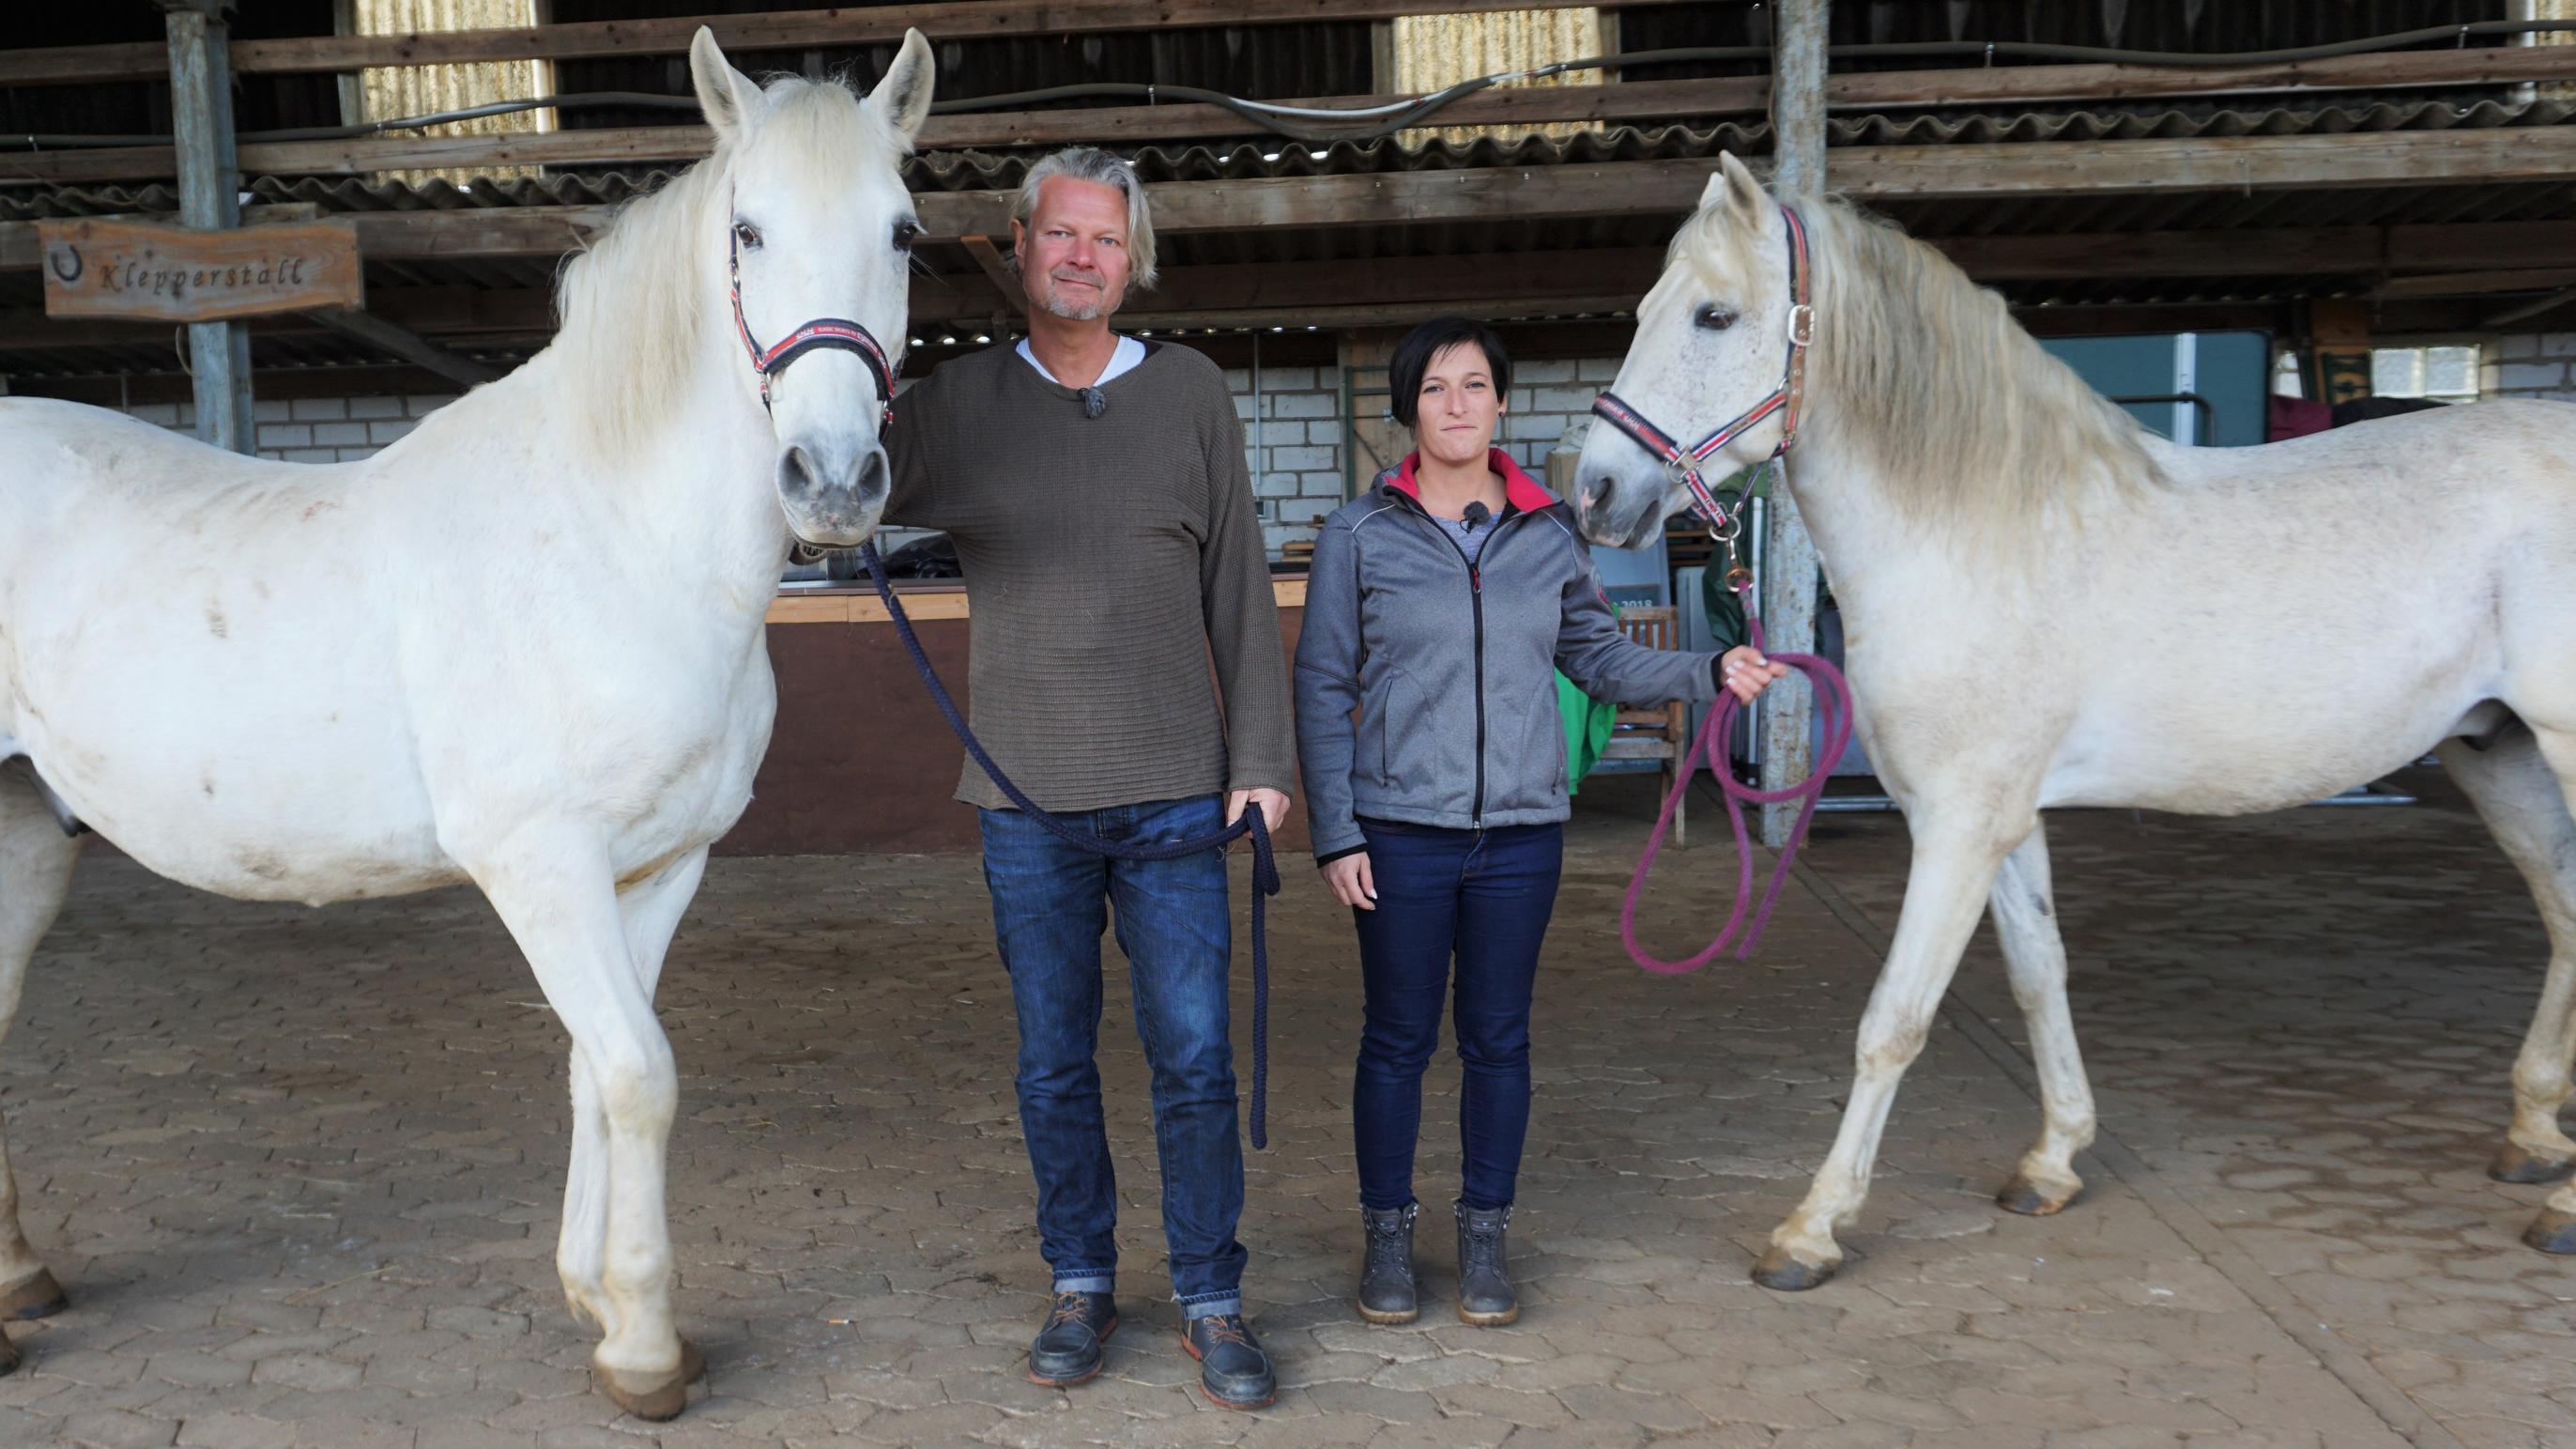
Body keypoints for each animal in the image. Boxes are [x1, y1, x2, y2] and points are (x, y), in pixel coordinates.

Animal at [0, 30, 937, 1412]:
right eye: (749, 231)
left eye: (903, 231)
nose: (831, 482)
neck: (613, 540)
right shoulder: (539, 863)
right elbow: (640, 1074)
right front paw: (647, 1347)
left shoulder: (656, 866)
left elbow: (599, 1071)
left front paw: (598, 1302)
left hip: (22, 837)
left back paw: (20, 1281)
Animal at [1576, 155, 2576, 1284]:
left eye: (1713, 314)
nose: (1596, 490)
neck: (1981, 532)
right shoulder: (2002, 820)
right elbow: (2036, 974)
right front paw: (2052, 1158)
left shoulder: (1960, 824)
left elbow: (1894, 1019)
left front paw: (1812, 1225)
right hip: (2496, 752)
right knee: (2565, 918)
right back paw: (2534, 1137)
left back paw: (2561, 1202)